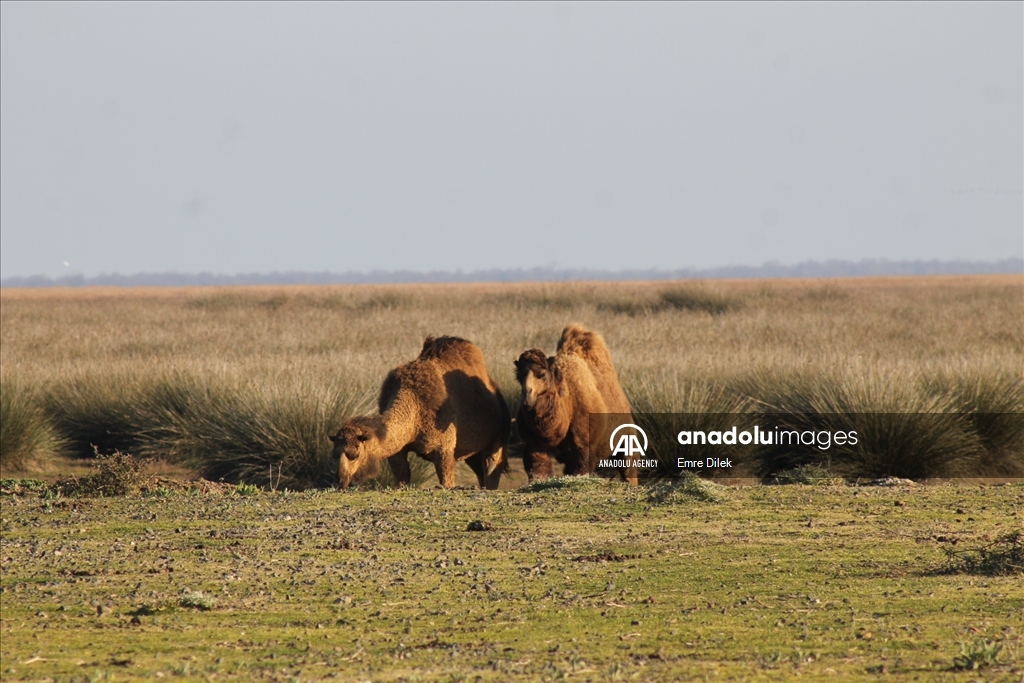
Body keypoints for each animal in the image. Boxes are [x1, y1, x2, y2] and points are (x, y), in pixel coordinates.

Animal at [329, 333, 509, 489]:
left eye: (354, 454)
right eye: (334, 454)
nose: (340, 481)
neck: (414, 405)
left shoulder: (444, 449)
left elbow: (447, 482)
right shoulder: (397, 451)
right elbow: (402, 477)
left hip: (499, 432)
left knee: (492, 465)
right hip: (471, 452)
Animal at [512, 323, 638, 483]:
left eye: (543, 375)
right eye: (518, 376)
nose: (527, 394)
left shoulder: (583, 446)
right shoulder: (534, 445)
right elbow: (538, 472)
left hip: (627, 442)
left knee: (628, 469)